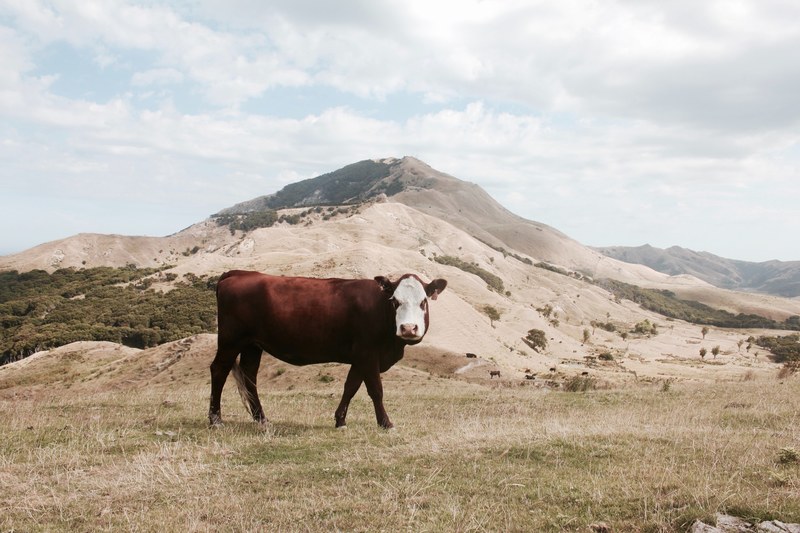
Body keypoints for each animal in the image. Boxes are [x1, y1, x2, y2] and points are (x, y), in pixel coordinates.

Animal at [209, 270, 447, 430]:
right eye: (395, 301)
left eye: (423, 301)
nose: (408, 328)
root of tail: (240, 273)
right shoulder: (368, 354)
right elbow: (375, 390)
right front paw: (385, 423)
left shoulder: (360, 357)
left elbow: (351, 387)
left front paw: (340, 420)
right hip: (231, 341)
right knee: (219, 370)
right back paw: (215, 420)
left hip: (252, 345)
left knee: (250, 377)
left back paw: (262, 419)